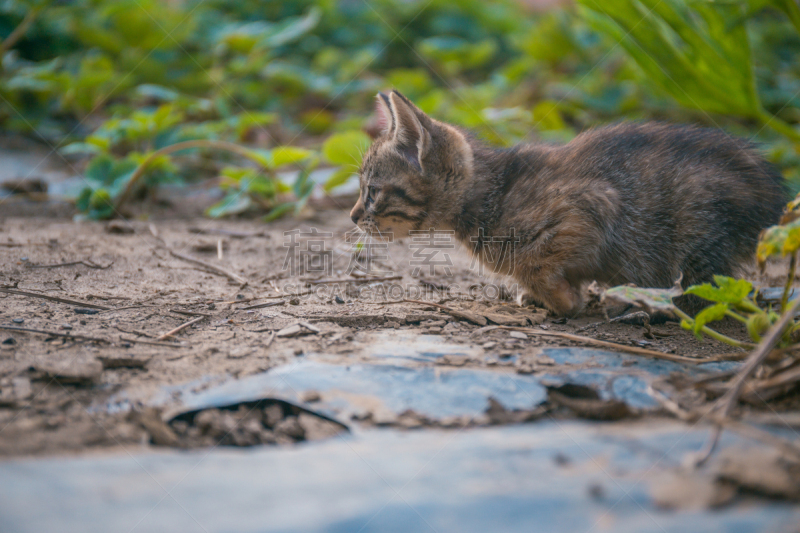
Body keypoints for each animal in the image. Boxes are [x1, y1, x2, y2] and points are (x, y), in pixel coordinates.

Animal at [352, 90, 788, 316]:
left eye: (372, 191)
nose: (354, 216)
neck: (491, 193)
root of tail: (773, 192)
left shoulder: (592, 206)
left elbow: (537, 262)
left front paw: (562, 300)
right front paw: (540, 295)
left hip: (694, 227)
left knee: (709, 290)